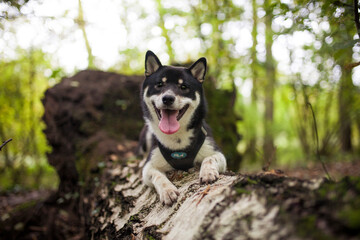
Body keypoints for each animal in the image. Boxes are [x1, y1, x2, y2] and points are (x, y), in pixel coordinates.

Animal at [139, 50, 226, 206]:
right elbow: (157, 175)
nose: (168, 98)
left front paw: (207, 172)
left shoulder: (216, 152)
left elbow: (209, 159)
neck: (176, 137)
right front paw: (168, 191)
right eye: (159, 84)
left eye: (184, 87)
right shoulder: (149, 167)